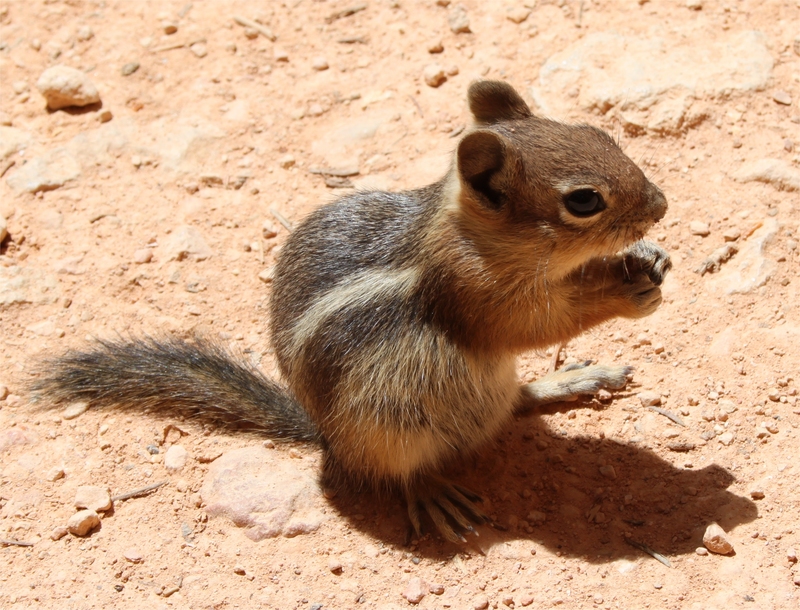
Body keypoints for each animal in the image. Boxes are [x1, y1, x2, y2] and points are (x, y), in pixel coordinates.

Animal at [29, 81, 668, 540]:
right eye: (583, 201)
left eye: (598, 132)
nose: (661, 205)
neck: (473, 236)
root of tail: (326, 437)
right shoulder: (475, 292)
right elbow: (535, 323)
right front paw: (624, 292)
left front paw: (647, 259)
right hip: (387, 427)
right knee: (399, 471)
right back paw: (430, 493)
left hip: (483, 394)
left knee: (515, 403)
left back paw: (574, 379)